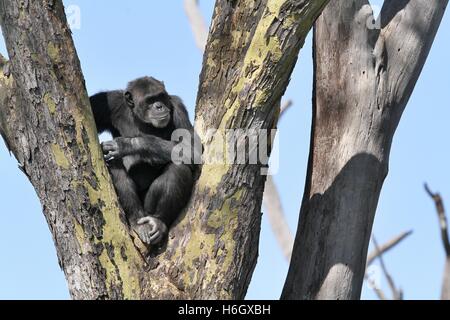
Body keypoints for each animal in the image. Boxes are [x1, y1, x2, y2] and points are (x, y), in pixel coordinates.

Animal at [89, 77, 199, 245]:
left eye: (160, 96)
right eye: (150, 100)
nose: (159, 106)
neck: (141, 119)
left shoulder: (178, 107)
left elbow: (191, 148)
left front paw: (126, 145)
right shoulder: (109, 102)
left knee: (178, 168)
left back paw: (158, 222)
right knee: (114, 165)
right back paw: (137, 221)